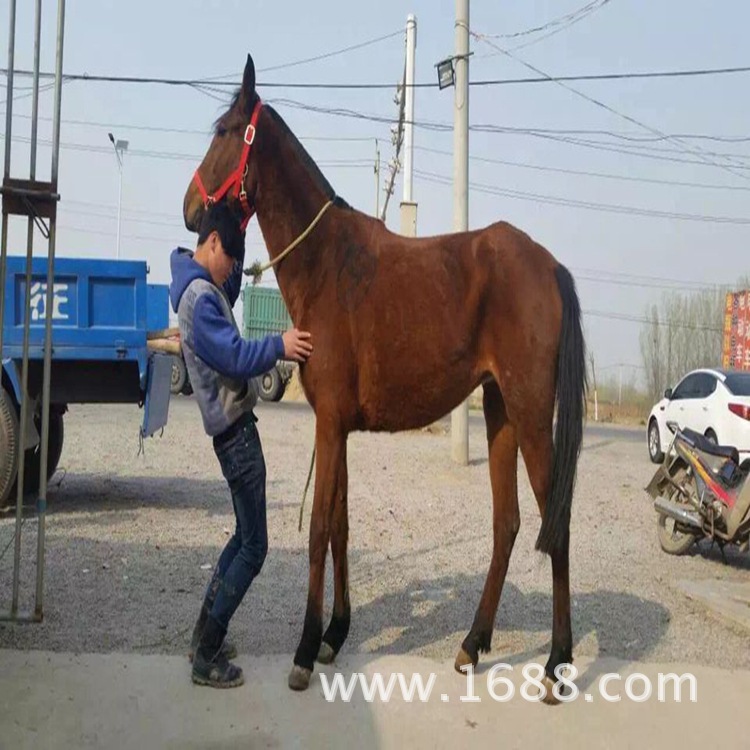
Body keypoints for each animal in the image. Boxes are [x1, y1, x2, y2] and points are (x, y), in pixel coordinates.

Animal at [182, 54, 588, 704]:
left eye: (223, 131)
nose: (191, 208)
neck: (327, 262)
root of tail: (548, 265)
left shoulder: (328, 425)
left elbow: (319, 527)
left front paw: (304, 650)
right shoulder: (339, 428)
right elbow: (342, 526)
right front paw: (333, 636)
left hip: (529, 415)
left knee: (556, 523)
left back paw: (556, 664)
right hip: (499, 412)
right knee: (506, 525)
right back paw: (472, 644)